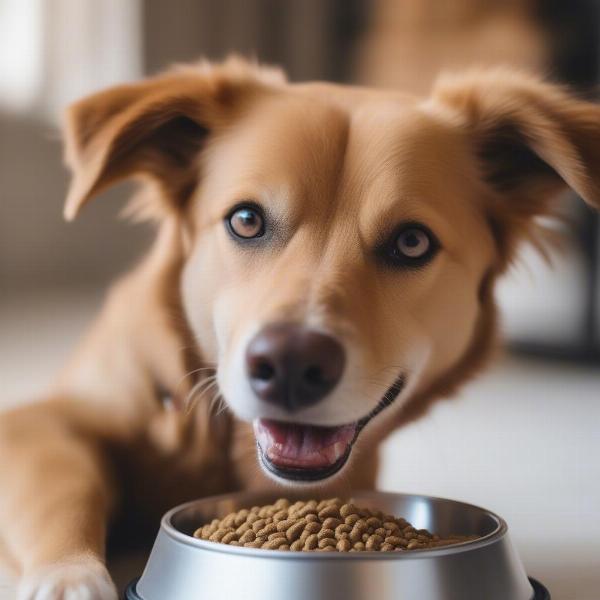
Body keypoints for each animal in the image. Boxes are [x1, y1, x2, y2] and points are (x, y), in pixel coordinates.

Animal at [1, 57, 600, 600]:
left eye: (412, 242)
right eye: (246, 220)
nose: (290, 364)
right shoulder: (35, 424)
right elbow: (68, 490)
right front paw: (71, 578)